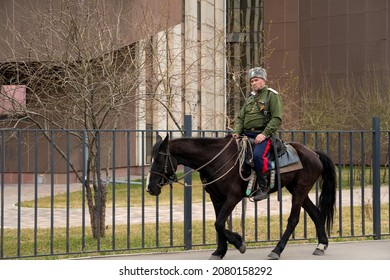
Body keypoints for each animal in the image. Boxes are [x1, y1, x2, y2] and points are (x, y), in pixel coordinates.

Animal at [145, 135, 336, 260]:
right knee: (315, 213)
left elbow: (219, 223)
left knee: (293, 220)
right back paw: (321, 245)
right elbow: (219, 224)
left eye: (159, 160)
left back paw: (277, 250)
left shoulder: (233, 197)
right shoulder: (216, 198)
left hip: (299, 191)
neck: (217, 160)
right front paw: (219, 251)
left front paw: (238, 242)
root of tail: (314, 153)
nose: (150, 188)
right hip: (298, 190)